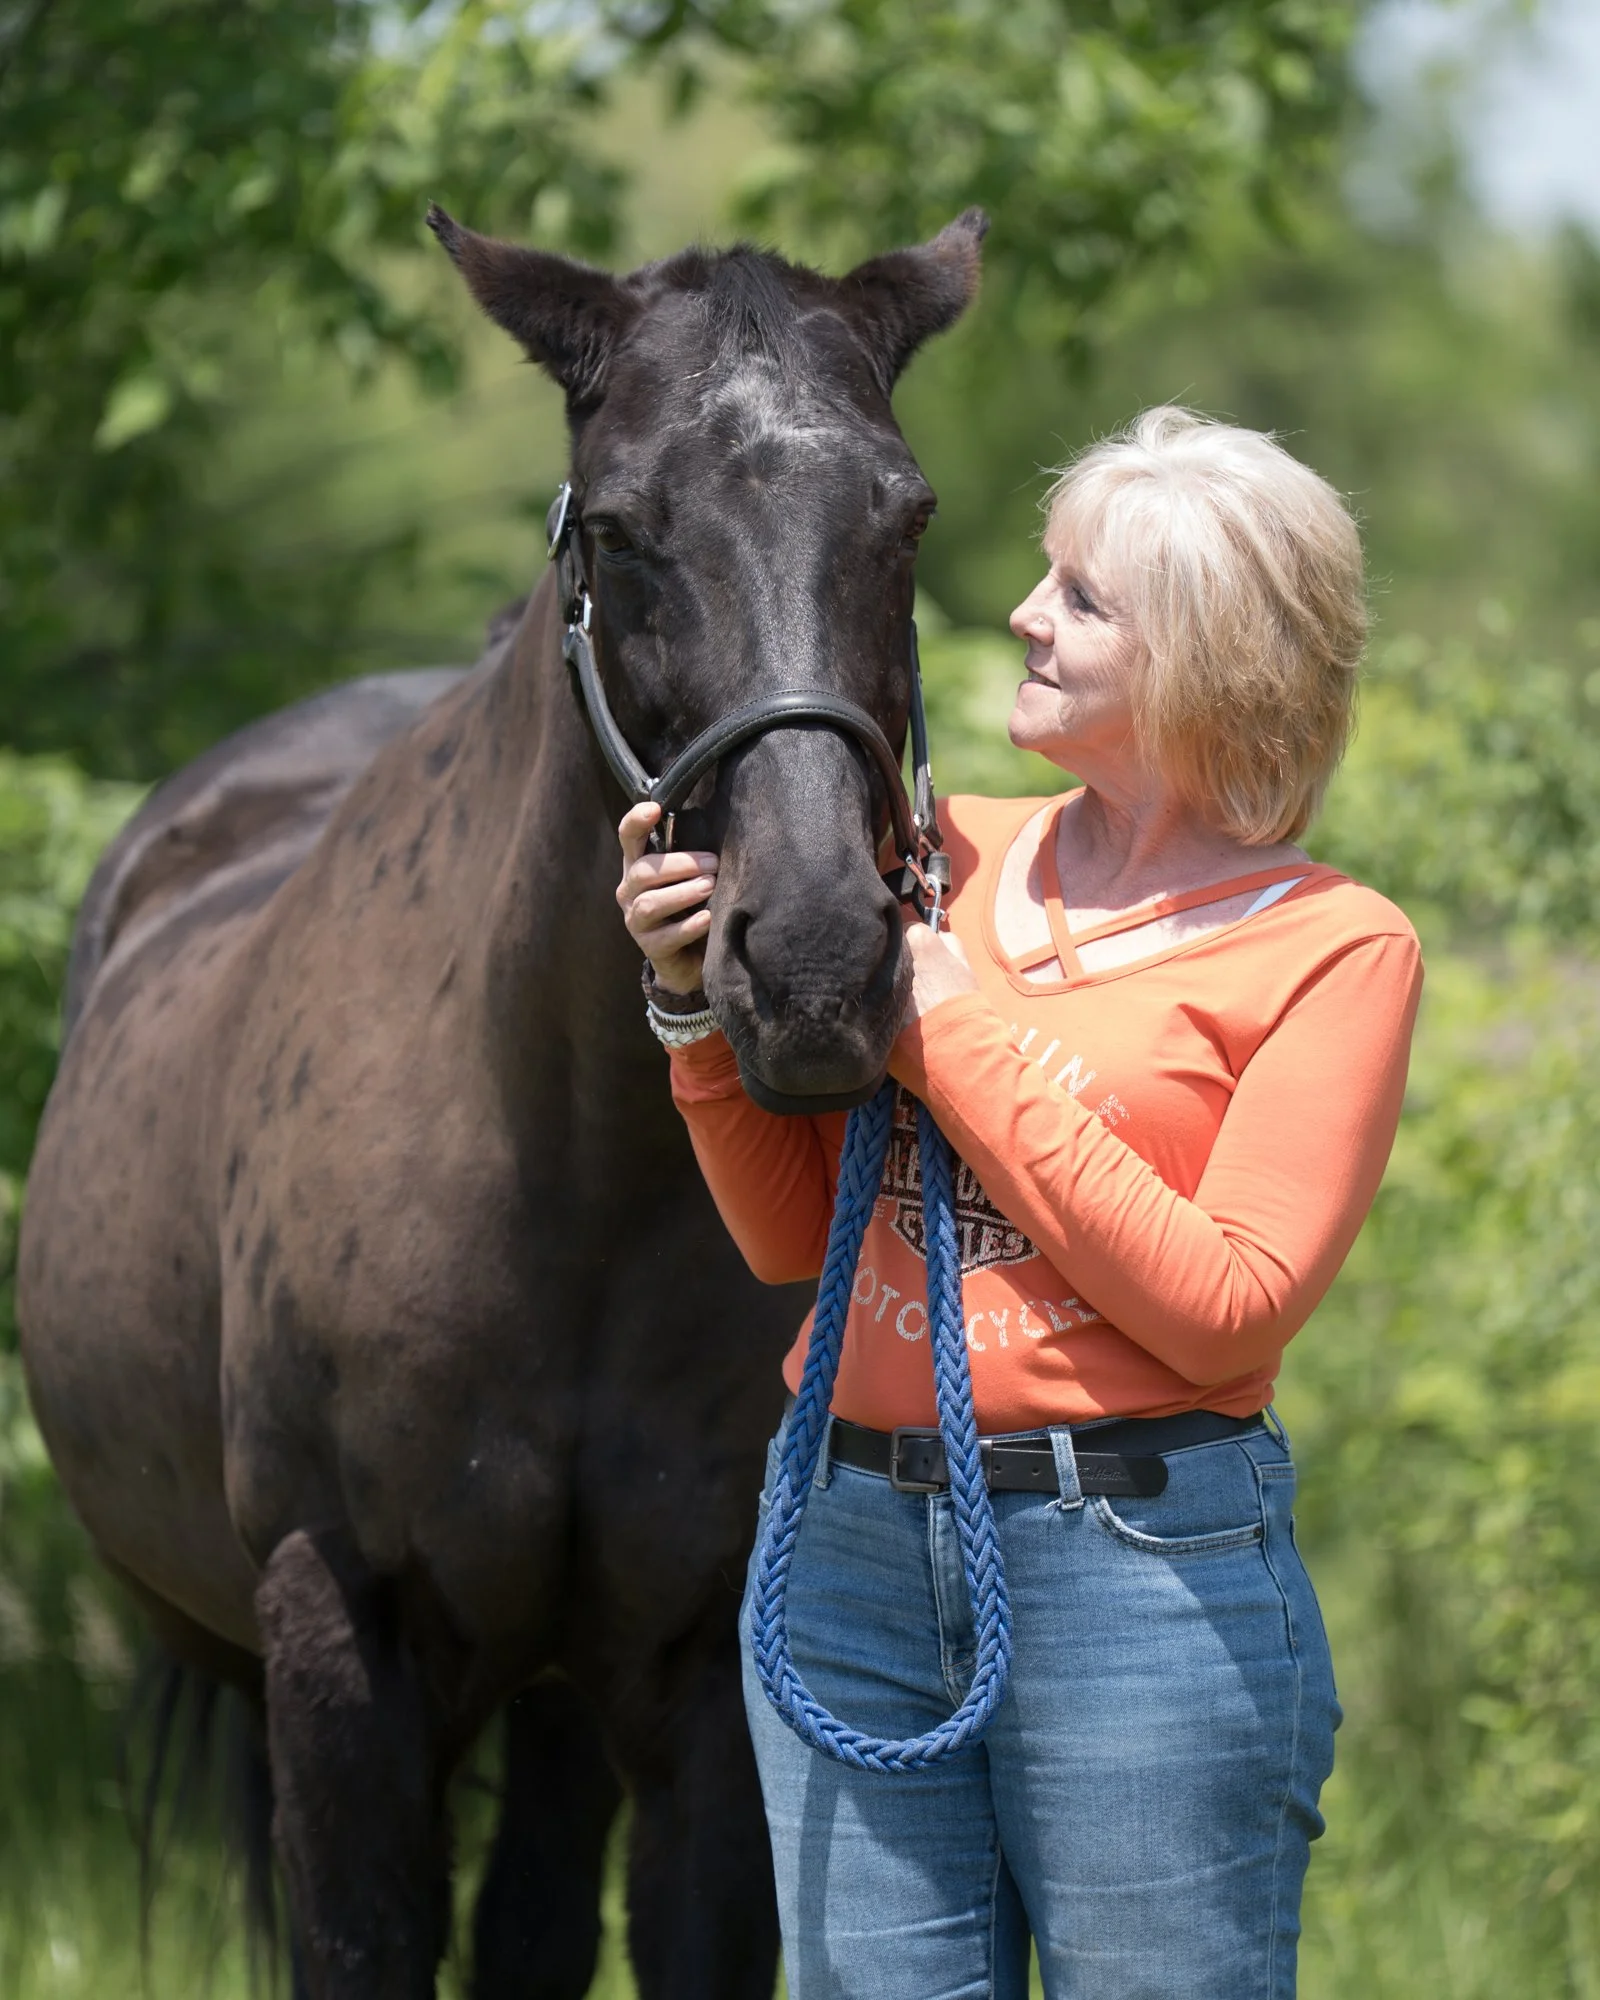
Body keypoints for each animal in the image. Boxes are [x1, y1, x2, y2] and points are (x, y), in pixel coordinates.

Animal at [17, 202, 988, 1998]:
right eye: (616, 528)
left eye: (908, 515)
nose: (816, 962)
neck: (564, 1176)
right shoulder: (341, 1638)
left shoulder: (698, 1667)